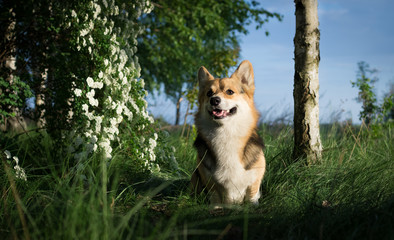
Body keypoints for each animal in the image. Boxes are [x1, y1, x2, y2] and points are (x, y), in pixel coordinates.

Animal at [190, 60, 264, 204]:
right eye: (209, 93)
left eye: (229, 92)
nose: (214, 100)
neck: (226, 131)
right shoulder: (210, 182)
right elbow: (215, 198)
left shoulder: (254, 180)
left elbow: (252, 195)